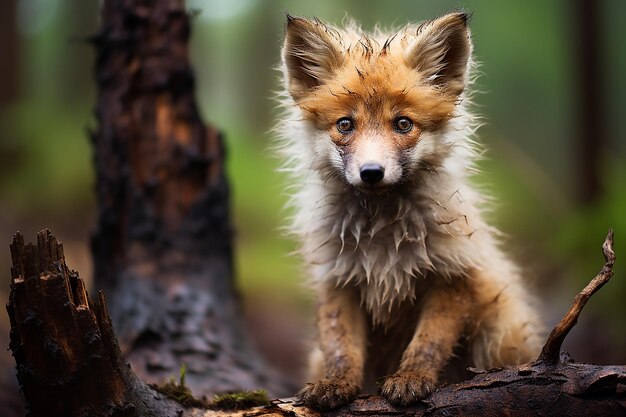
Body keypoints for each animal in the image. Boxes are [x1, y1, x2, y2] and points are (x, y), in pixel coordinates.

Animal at [272, 11, 540, 408]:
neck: (382, 236)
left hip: (497, 332)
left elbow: (429, 342)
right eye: (345, 124)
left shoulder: (453, 275)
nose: (371, 172)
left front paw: (411, 378)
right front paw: (336, 383)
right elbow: (341, 347)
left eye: (402, 124)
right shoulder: (338, 280)